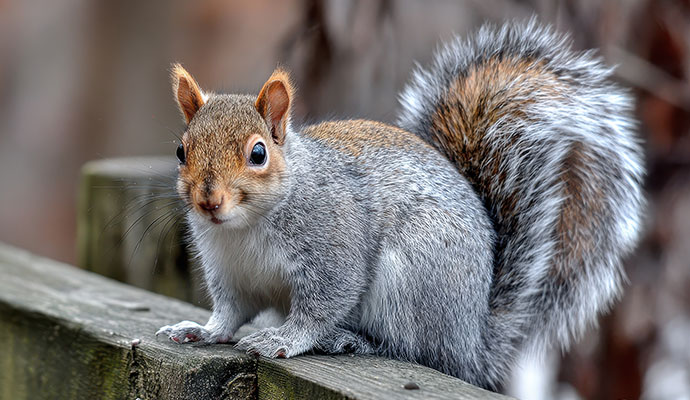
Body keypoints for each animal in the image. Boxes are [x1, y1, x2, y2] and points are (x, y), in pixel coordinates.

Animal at [156, 19, 645, 390]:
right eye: (181, 150)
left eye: (258, 153)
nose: (208, 200)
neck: (244, 228)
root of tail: (471, 343)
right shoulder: (229, 270)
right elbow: (230, 312)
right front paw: (201, 330)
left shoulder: (333, 243)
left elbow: (323, 303)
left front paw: (284, 339)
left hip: (413, 276)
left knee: (411, 349)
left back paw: (352, 341)